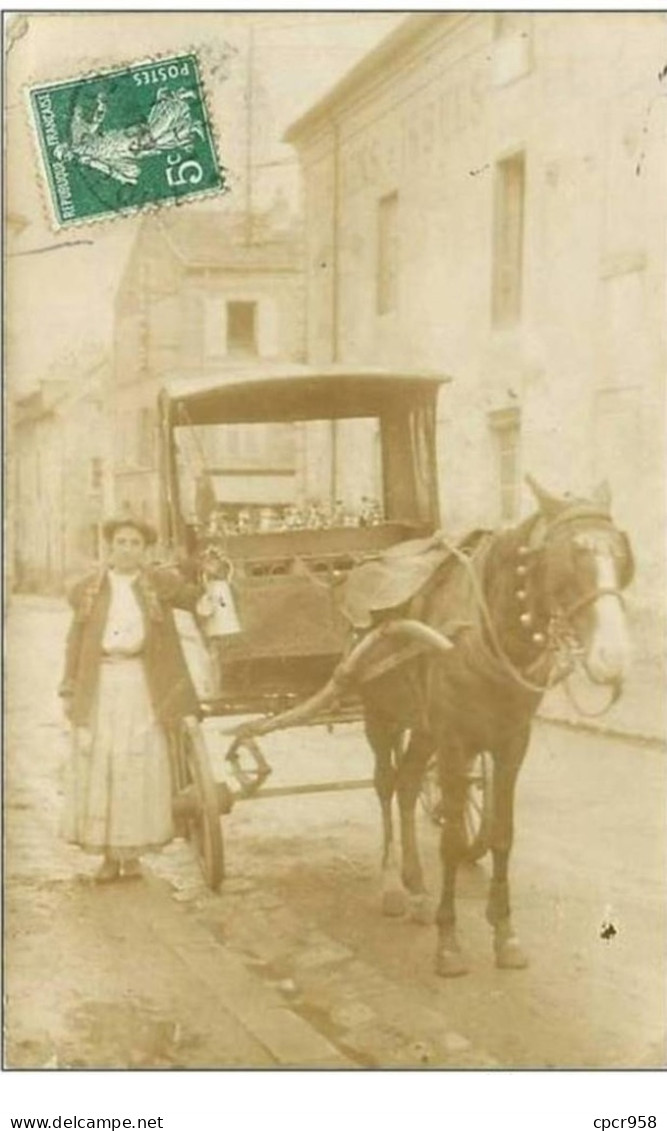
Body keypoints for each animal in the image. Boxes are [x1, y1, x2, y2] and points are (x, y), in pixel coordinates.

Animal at [357, 472, 633, 977]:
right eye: (570, 558)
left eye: (621, 557)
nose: (613, 656)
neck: (490, 632)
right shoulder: (454, 739)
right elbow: (449, 840)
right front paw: (449, 942)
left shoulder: (511, 741)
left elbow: (502, 833)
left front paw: (504, 934)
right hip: (380, 715)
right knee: (385, 785)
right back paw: (390, 884)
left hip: (423, 728)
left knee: (407, 784)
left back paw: (416, 885)